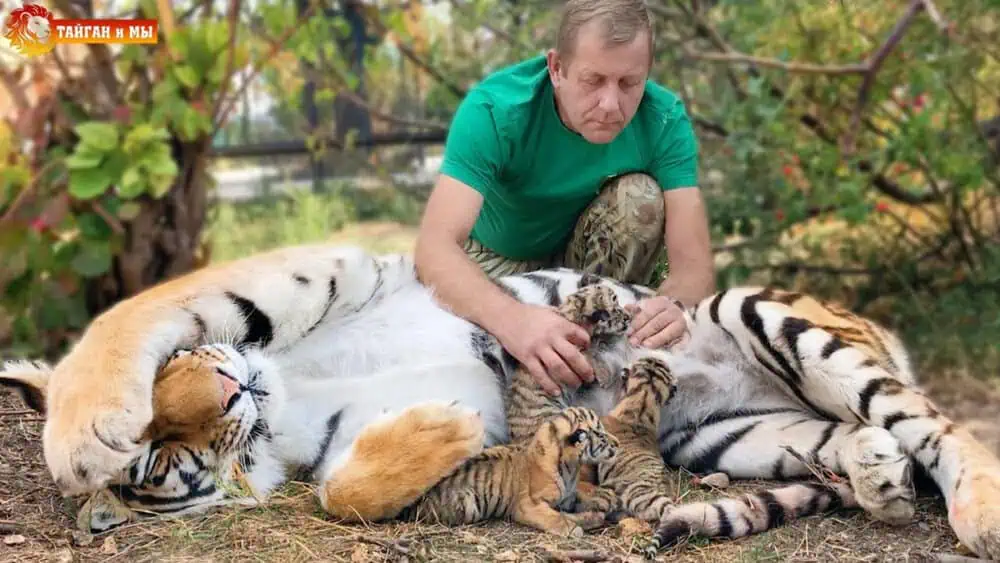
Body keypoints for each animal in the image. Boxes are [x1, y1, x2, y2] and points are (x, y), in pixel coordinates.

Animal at [398, 406, 617, 537]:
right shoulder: (528, 505)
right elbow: (555, 516)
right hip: (468, 505)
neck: (571, 468)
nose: (617, 443)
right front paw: (572, 527)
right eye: (600, 435)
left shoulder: (568, 499)